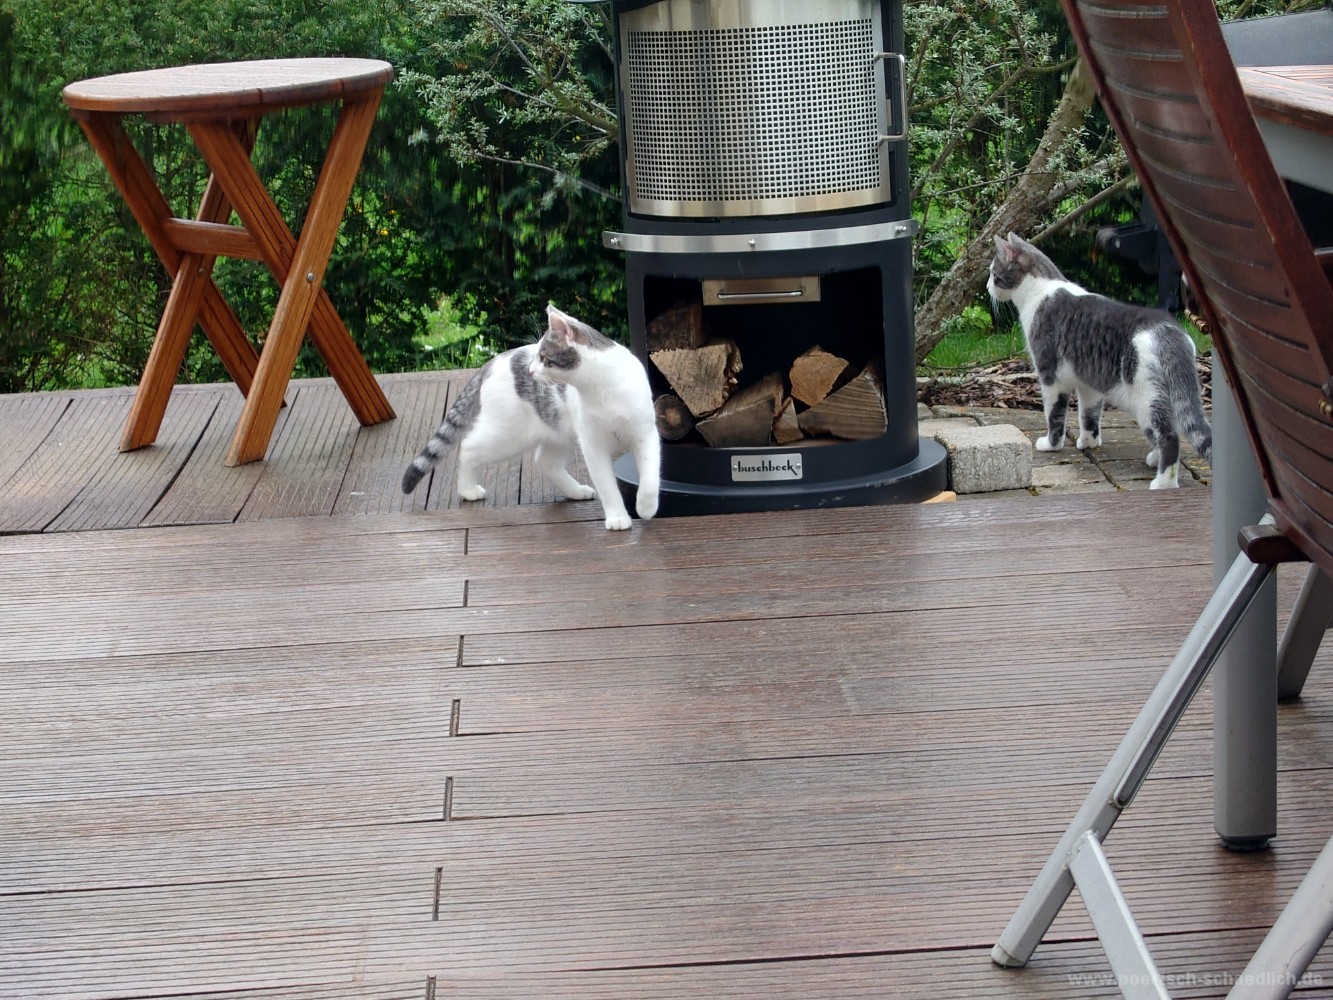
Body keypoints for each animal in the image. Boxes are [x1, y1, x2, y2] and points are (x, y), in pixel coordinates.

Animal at [402, 304, 660, 530]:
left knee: (545, 462)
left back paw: (576, 491)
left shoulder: (646, 434)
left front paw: (646, 508)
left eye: (543, 357)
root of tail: (491, 362)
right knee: (467, 447)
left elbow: (650, 478)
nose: (531, 371)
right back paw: (468, 490)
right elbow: (607, 485)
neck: (603, 390)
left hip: (558, 432)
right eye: (536, 357)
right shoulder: (593, 445)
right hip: (507, 436)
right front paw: (617, 517)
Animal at [986, 232, 1211, 489]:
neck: (1041, 290)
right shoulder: (1089, 382)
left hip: (1147, 398)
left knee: (1169, 436)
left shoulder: (1051, 377)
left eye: (994, 274)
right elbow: (1089, 415)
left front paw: (1051, 444)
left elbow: (1054, 414)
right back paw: (1155, 459)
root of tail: (1170, 332)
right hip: (1167, 397)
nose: (988, 287)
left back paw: (1163, 482)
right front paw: (1089, 442)